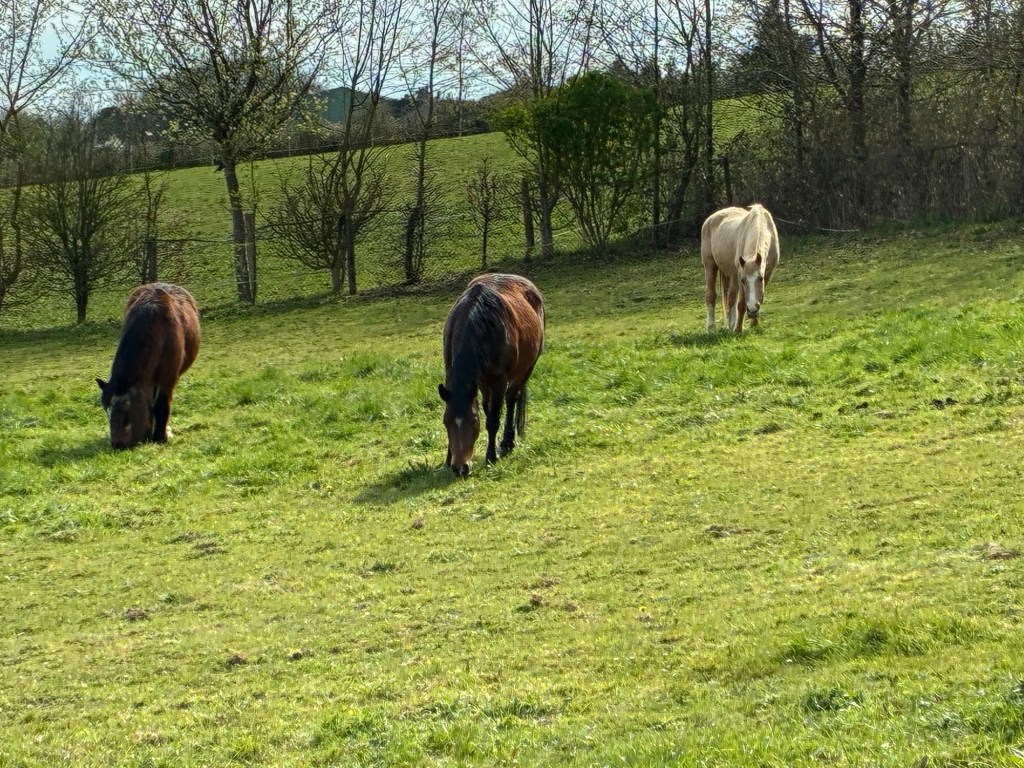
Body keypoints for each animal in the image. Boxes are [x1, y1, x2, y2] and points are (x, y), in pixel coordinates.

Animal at [96, 283, 201, 449]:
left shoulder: (168, 378)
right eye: (107, 410)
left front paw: (161, 436)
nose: (117, 444)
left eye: (127, 411)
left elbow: (161, 405)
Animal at [438, 273, 545, 477]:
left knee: (512, 399)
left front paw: (491, 456)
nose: (460, 468)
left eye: (473, 422)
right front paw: (448, 459)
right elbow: (487, 412)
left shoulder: (498, 381)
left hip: (526, 368)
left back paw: (507, 443)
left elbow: (493, 419)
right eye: (446, 422)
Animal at [700, 203, 781, 332]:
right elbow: (741, 303)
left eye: (760, 278)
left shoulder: (768, 273)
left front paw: (754, 324)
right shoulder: (739, 275)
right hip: (710, 266)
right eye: (743, 280)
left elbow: (760, 296)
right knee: (713, 296)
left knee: (730, 297)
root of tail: (710, 219)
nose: (752, 310)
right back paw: (713, 326)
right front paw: (737, 329)